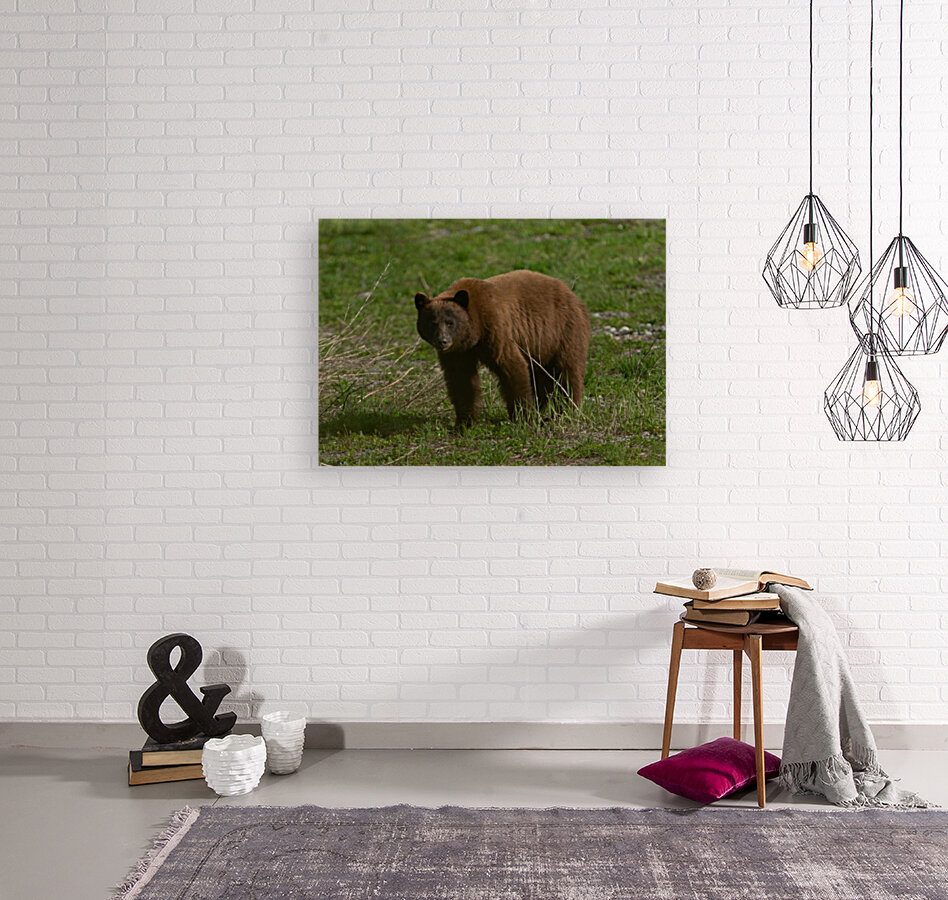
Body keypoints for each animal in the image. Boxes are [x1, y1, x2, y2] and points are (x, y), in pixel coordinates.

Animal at [414, 269, 591, 427]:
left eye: (450, 322)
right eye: (432, 323)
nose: (442, 341)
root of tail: (572, 294)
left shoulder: (496, 328)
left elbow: (512, 366)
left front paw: (523, 417)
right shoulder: (459, 351)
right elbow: (461, 379)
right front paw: (464, 422)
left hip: (563, 331)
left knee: (568, 371)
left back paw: (566, 410)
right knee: (541, 377)